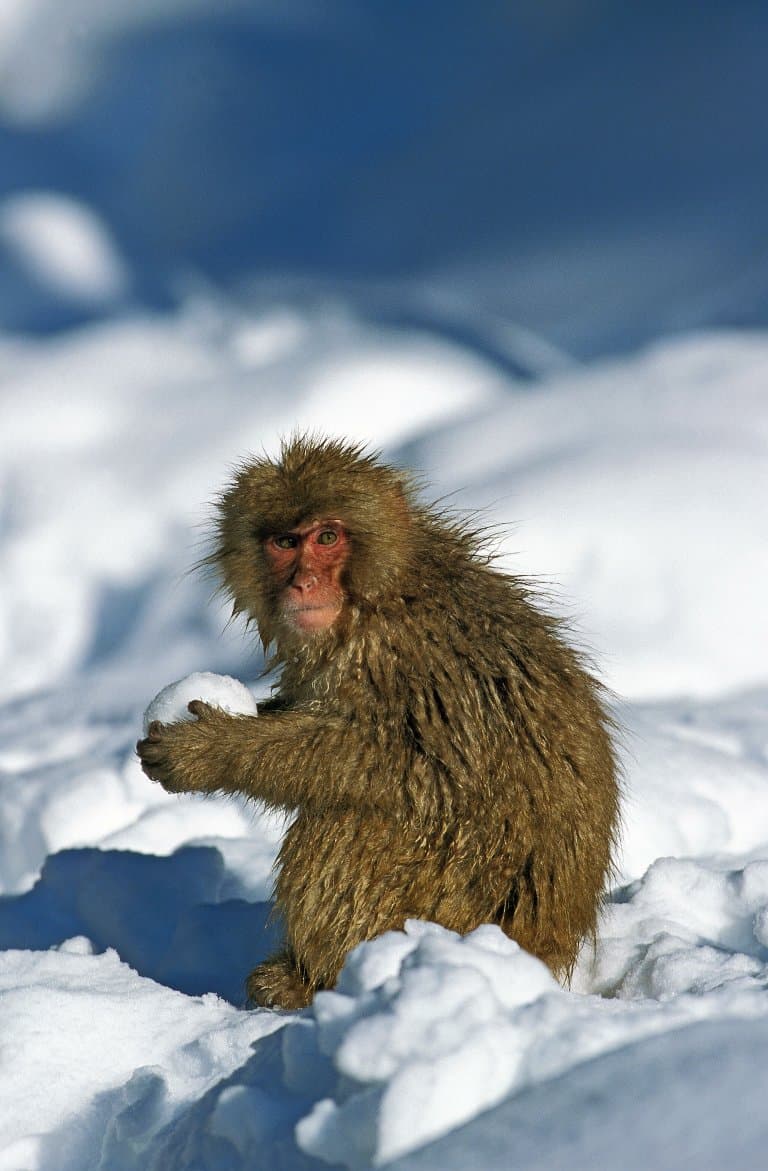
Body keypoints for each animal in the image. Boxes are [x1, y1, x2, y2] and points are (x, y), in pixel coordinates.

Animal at [136, 437, 618, 1007]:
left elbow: (415, 770)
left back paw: (314, 982)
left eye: (327, 537)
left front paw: (210, 751)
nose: (303, 583)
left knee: (348, 819)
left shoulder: (408, 655)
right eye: (284, 543)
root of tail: (546, 951)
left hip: (448, 905)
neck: (378, 596)